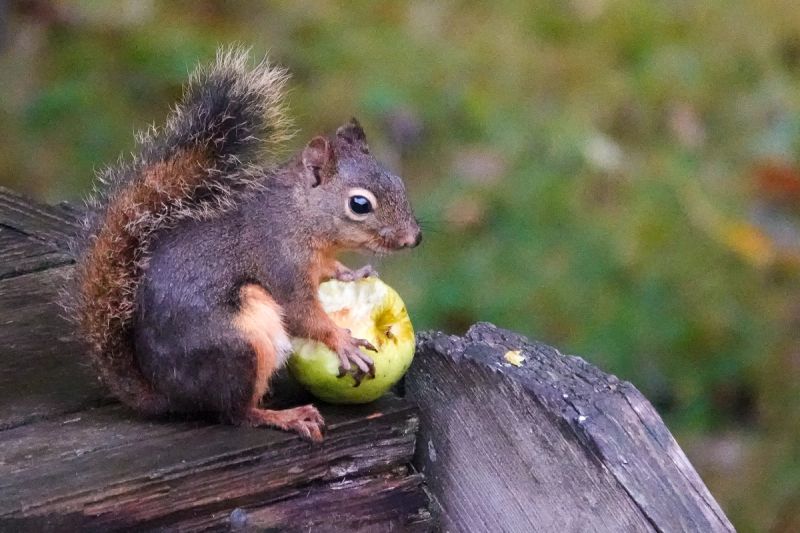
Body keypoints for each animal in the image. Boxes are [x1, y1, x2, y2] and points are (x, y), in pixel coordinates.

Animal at [67, 48, 421, 442]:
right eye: (360, 204)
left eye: (397, 181)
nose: (414, 238)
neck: (299, 216)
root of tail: (167, 397)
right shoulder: (281, 263)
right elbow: (301, 313)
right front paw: (342, 341)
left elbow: (330, 270)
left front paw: (351, 273)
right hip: (242, 344)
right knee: (236, 412)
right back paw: (284, 416)